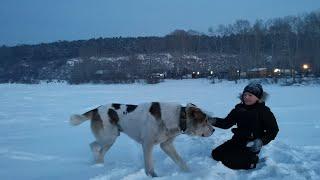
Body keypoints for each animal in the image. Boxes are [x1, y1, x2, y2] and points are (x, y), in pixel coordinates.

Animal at [70, 102, 215, 176]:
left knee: (95, 146)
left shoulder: (166, 145)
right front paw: (153, 177)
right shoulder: (147, 144)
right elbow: (149, 166)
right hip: (109, 137)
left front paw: (189, 174)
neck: (179, 117)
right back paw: (98, 164)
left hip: (109, 138)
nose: (213, 130)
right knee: (95, 147)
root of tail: (96, 109)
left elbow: (181, 161)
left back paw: (98, 164)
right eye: (205, 121)